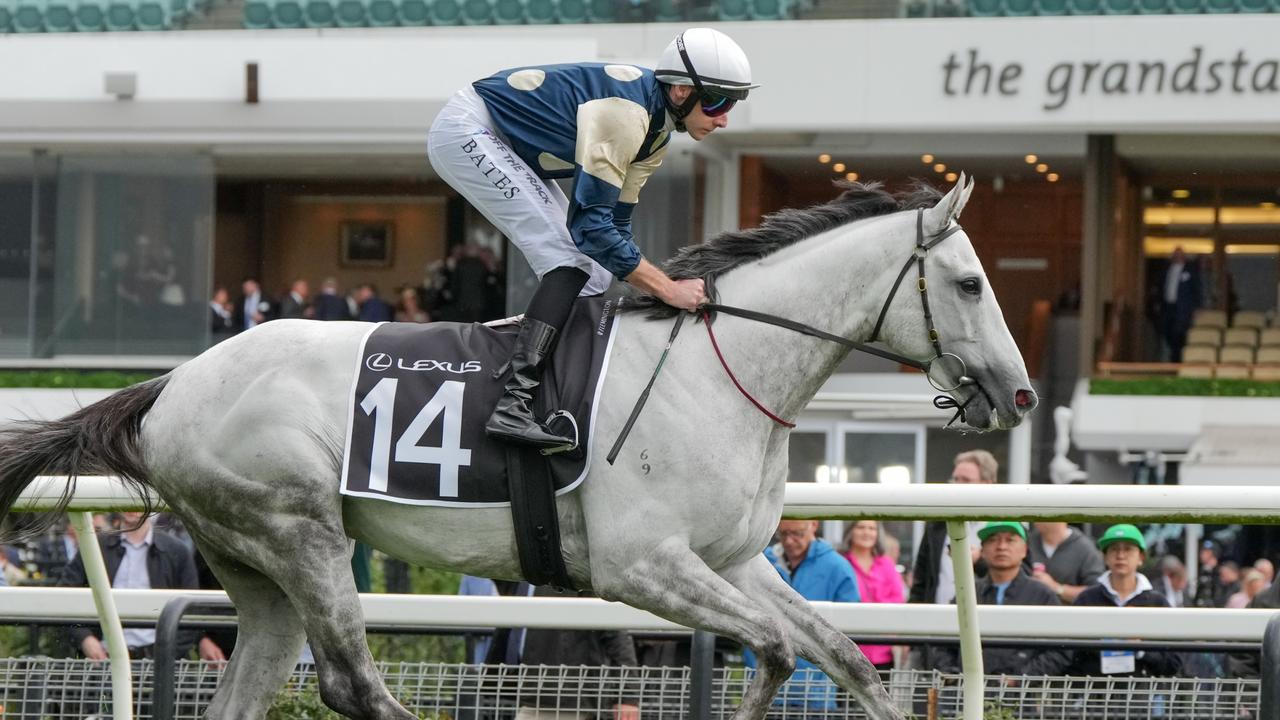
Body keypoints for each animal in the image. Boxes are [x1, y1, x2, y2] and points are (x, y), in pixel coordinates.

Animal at [0, 175, 1029, 717]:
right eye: (971, 283)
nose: (1019, 394)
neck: (719, 364)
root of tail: (172, 385)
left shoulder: (733, 560)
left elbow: (841, 658)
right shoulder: (638, 564)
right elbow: (776, 651)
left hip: (257, 569)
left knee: (260, 680)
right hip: (302, 532)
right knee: (352, 682)